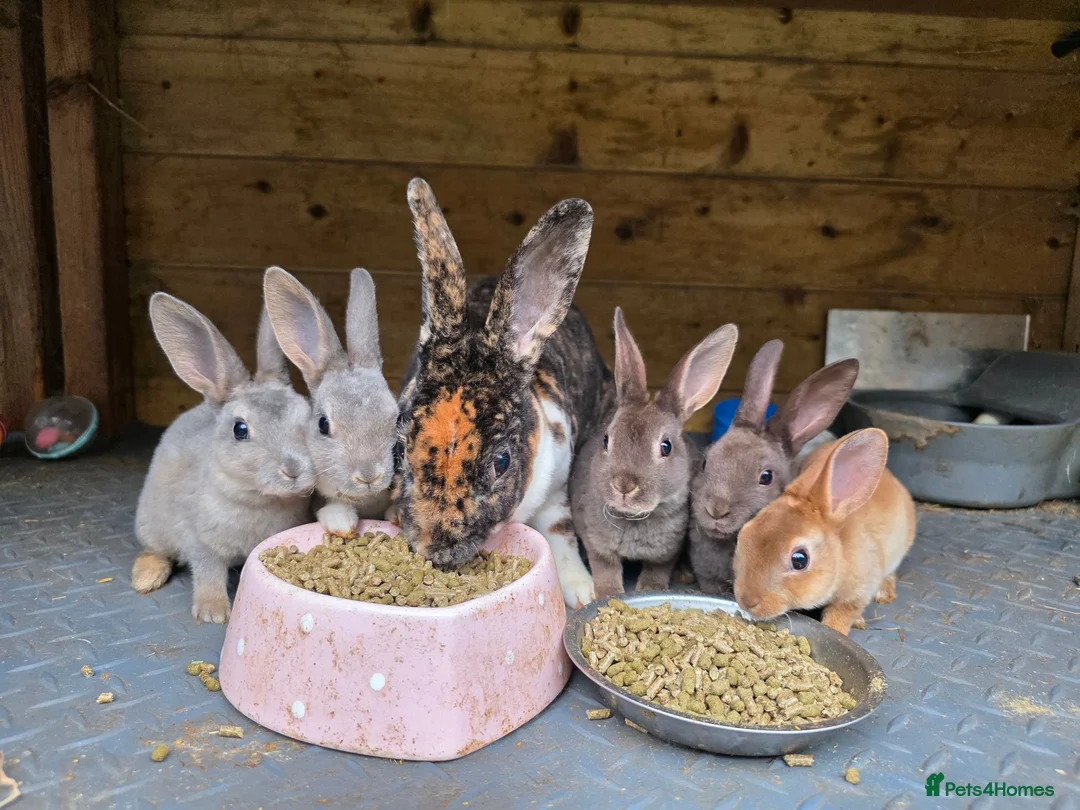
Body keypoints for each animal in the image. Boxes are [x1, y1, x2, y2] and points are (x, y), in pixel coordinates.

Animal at [131, 294, 315, 623]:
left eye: (307, 415)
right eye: (240, 430)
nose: (293, 470)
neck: (260, 499)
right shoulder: (201, 543)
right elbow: (208, 574)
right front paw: (214, 613)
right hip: (152, 526)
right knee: (156, 551)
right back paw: (146, 578)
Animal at [391, 178, 611, 608]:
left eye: (502, 462)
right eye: (400, 450)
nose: (437, 550)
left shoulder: (557, 489)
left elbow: (560, 531)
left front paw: (580, 592)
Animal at [570, 308, 738, 599]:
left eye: (666, 446)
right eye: (606, 440)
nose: (624, 485)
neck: (634, 516)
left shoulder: (667, 551)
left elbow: (657, 569)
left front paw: (650, 588)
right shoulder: (597, 542)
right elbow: (605, 568)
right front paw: (609, 594)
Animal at [732, 427, 916, 636]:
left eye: (800, 560)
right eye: (745, 533)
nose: (747, 601)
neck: (840, 556)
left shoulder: (858, 592)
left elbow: (842, 615)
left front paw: (837, 627)